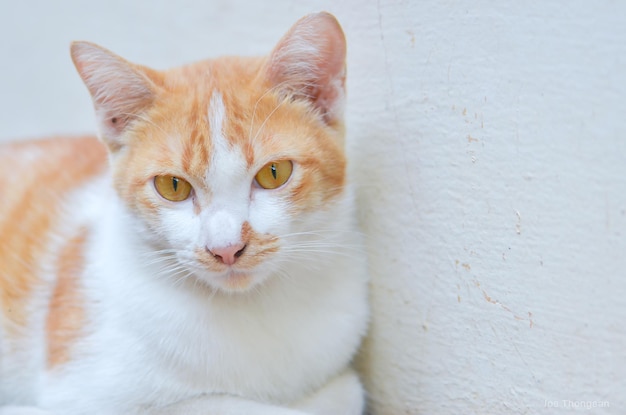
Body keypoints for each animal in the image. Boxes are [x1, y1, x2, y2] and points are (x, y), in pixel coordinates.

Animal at [0, 11, 368, 414]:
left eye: (274, 173)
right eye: (172, 186)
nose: (226, 248)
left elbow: (350, 390)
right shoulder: (78, 392)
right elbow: (221, 403)